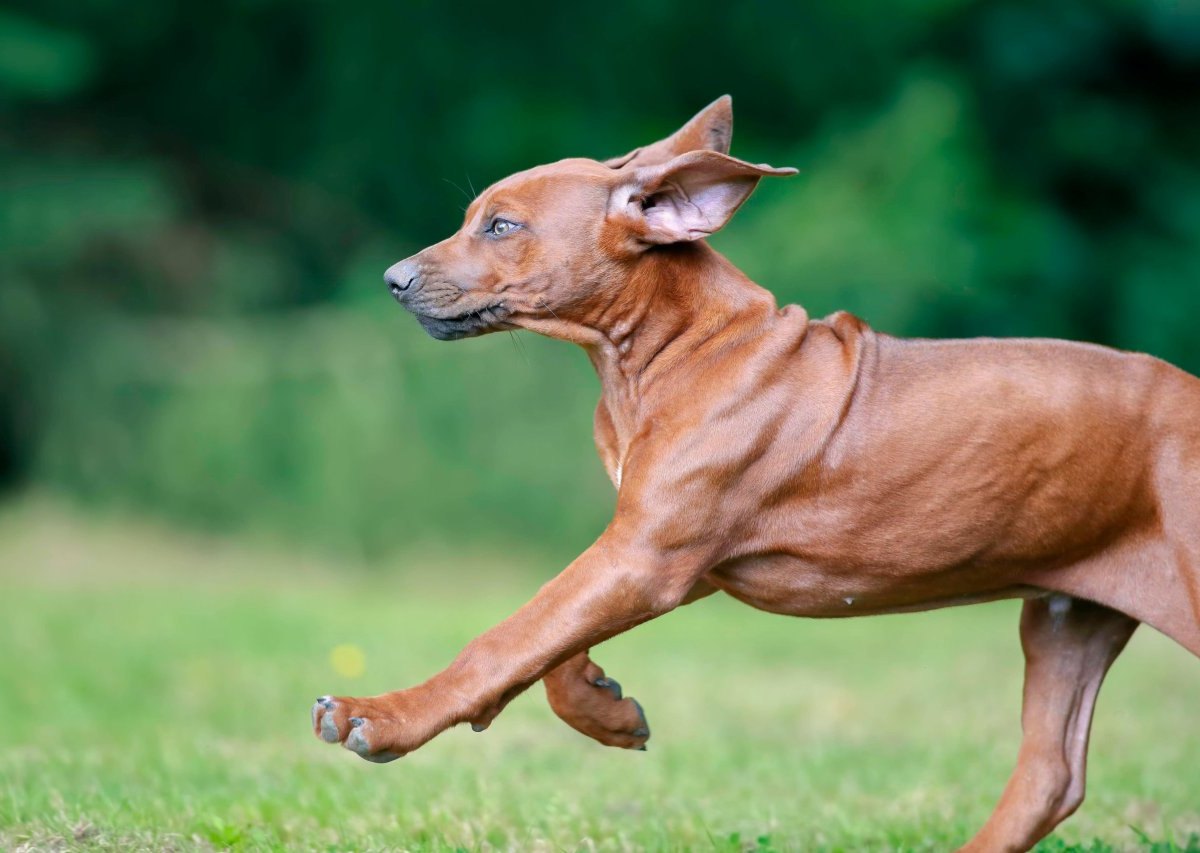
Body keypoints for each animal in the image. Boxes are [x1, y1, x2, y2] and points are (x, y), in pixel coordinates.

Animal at [312, 96, 1200, 849]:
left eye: (501, 225)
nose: (392, 279)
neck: (658, 353)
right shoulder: (656, 548)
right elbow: (546, 638)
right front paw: (605, 708)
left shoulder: (649, 555)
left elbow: (507, 636)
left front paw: (379, 717)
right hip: (1068, 613)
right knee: (1051, 773)